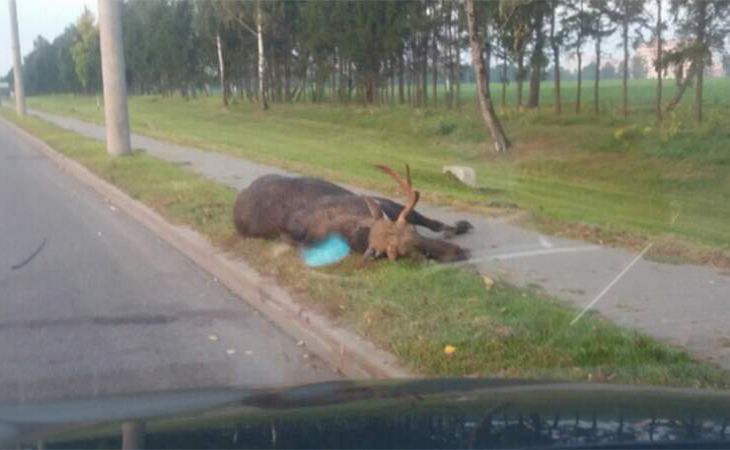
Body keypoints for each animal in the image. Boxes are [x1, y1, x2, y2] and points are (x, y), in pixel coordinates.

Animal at [233, 165, 472, 264]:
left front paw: (459, 226)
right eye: (402, 253)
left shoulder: (390, 206)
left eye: (414, 234)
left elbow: (431, 221)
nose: (460, 251)